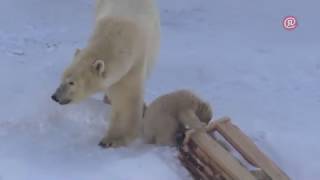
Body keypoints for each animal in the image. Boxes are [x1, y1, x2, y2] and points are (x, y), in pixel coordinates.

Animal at [52, 0, 160, 147]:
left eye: (72, 82)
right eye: (62, 77)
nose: (55, 96)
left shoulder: (134, 63)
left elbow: (126, 97)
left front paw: (113, 139)